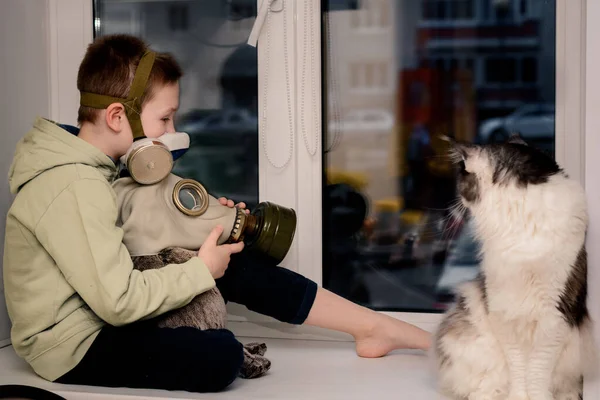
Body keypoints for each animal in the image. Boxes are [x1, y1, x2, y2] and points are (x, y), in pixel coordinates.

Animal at [432, 134, 596, 400]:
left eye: (461, 179)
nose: (456, 200)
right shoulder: (504, 312)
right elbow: (519, 371)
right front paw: (518, 396)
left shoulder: (553, 316)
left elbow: (537, 374)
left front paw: (538, 397)